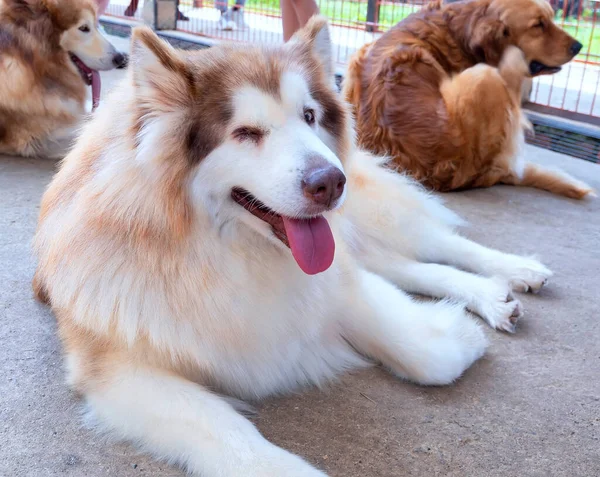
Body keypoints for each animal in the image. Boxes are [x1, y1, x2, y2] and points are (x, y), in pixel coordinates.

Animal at [35, 16, 556, 474]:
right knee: (406, 265)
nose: (331, 183)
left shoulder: (335, 282)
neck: (223, 251)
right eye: (246, 133)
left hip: (369, 217)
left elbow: (428, 356)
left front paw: (458, 335)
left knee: (437, 244)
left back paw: (516, 272)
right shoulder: (120, 369)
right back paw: (492, 296)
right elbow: (230, 435)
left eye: (309, 116)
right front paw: (462, 324)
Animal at [342, 0, 596, 199]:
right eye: (538, 25)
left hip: (356, 59)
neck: (459, 30)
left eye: (551, 19)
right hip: (484, 76)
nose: (579, 46)